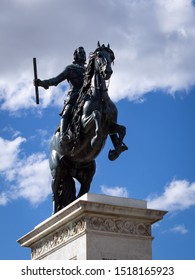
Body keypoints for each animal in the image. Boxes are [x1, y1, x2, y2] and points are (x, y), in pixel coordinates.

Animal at [49, 43, 127, 214]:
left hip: (86, 173)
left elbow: (122, 129)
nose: (107, 72)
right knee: (55, 195)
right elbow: (96, 115)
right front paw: (96, 139)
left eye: (111, 57)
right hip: (57, 171)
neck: (100, 97)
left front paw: (116, 151)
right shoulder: (84, 124)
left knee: (80, 194)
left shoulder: (111, 125)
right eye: (99, 56)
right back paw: (55, 213)